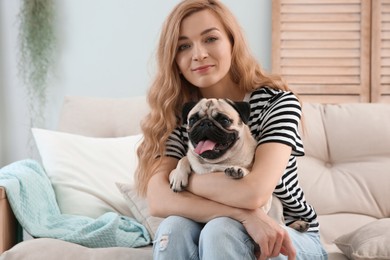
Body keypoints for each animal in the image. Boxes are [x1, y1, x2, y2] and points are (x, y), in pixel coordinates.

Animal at [169, 98, 310, 233]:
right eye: (193, 119)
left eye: (224, 120)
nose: (205, 123)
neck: (218, 163)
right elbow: (184, 158)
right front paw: (178, 175)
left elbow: (247, 170)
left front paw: (237, 170)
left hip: (275, 205)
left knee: (281, 225)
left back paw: (298, 224)